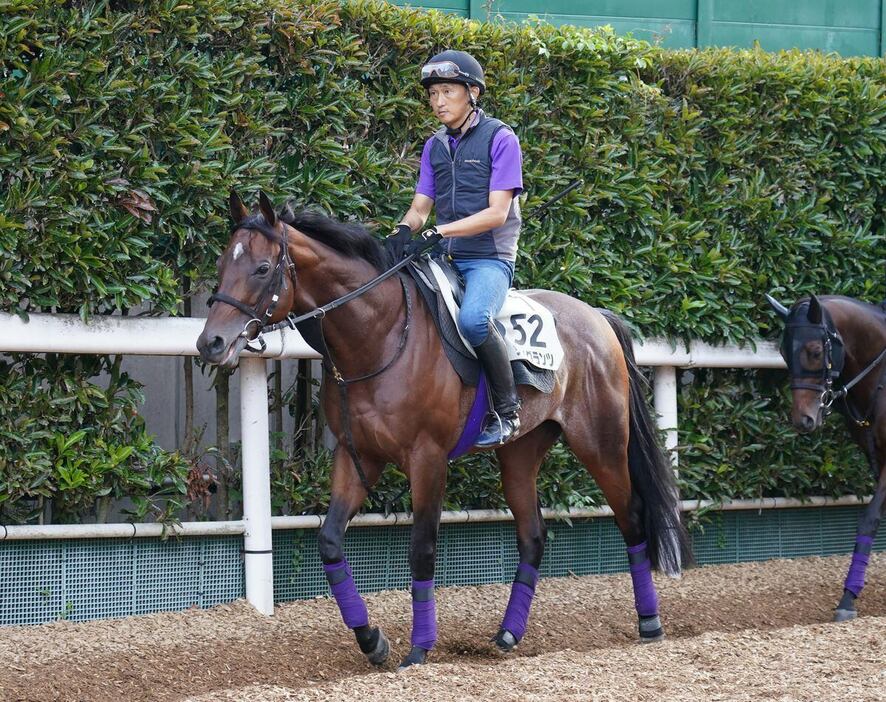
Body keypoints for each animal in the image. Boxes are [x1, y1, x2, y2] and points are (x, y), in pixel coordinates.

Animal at [198, 192, 692, 672]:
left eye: (262, 268)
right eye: (222, 265)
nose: (211, 343)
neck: (381, 334)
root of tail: (596, 316)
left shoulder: (428, 459)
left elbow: (421, 549)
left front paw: (418, 649)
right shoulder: (358, 457)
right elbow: (330, 542)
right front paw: (372, 640)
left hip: (602, 444)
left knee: (631, 517)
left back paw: (650, 624)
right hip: (520, 453)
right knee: (533, 534)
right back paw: (507, 634)